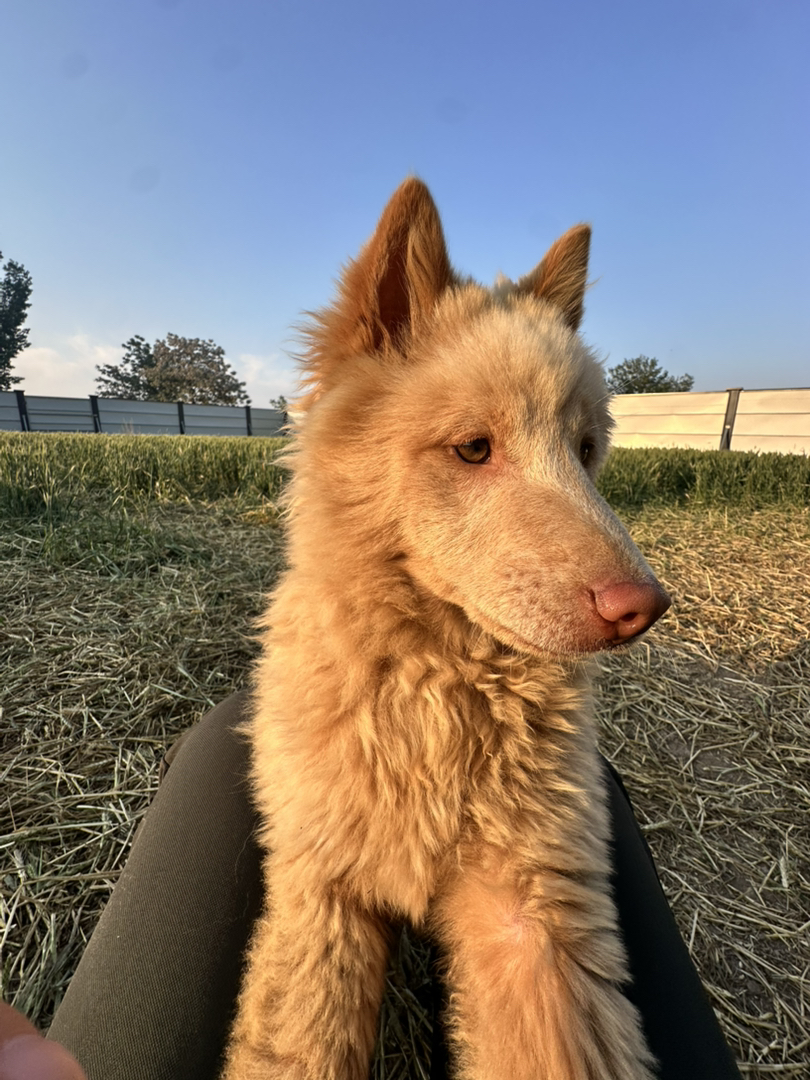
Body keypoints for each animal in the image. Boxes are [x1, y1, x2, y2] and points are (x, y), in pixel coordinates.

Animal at [222, 178, 670, 1080]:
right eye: (472, 448)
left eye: (586, 449)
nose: (643, 606)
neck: (433, 691)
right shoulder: (320, 889)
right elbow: (294, 1045)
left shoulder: (533, 917)